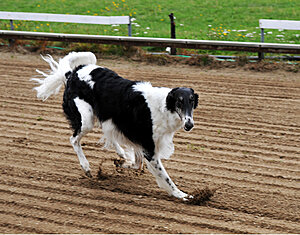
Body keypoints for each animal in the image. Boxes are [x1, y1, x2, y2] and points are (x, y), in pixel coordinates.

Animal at [31, 51, 198, 200]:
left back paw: (121, 154)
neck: (162, 106)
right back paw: (86, 167)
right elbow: (165, 177)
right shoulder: (149, 148)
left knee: (107, 134)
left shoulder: (137, 138)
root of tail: (72, 73)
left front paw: (121, 162)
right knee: (74, 140)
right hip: (86, 120)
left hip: (104, 117)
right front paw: (182, 195)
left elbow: (136, 164)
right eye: (179, 102)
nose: (189, 124)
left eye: (192, 101)